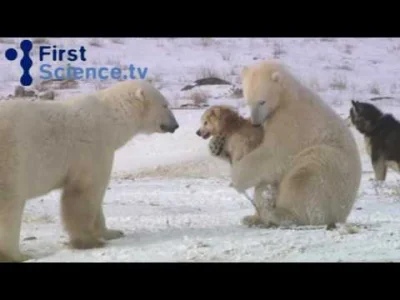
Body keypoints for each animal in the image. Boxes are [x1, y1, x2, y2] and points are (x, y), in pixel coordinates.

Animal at [0, 78, 179, 262]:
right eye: (165, 105)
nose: (176, 125)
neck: (111, 119)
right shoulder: (92, 149)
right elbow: (85, 193)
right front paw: (90, 241)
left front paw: (113, 232)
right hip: (12, 160)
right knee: (10, 206)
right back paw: (18, 255)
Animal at [219, 59, 362, 229]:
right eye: (248, 101)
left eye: (262, 101)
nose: (255, 123)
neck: (286, 97)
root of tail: (344, 213)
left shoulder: (291, 121)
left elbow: (273, 154)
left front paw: (235, 180)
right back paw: (253, 217)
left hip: (334, 172)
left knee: (306, 173)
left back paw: (281, 215)